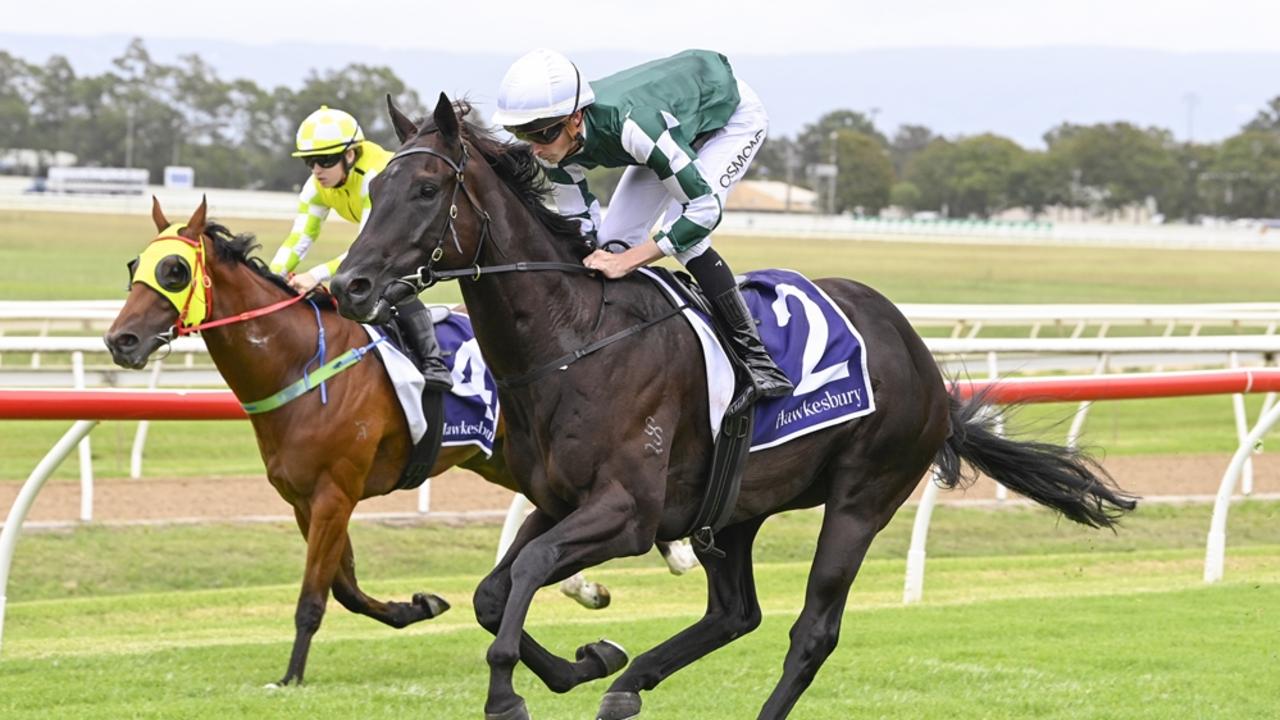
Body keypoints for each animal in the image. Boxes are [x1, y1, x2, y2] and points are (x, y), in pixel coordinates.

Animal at [103, 198, 691, 686]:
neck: (301, 362)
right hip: (505, 460)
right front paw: (418, 606)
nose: (120, 340)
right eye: (134, 267)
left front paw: (290, 676)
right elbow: (346, 589)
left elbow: (314, 597)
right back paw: (605, 581)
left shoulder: (335, 491)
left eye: (174, 271)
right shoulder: (304, 500)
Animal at [330, 95, 1141, 717]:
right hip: (734, 507)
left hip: (862, 498)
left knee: (811, 633)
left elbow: (526, 573)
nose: (349, 287)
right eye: (371, 193)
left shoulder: (627, 513)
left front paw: (510, 692)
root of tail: (925, 365)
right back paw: (629, 683)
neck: (576, 338)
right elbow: (493, 590)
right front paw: (589, 661)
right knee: (734, 613)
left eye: (426, 191)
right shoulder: (561, 501)